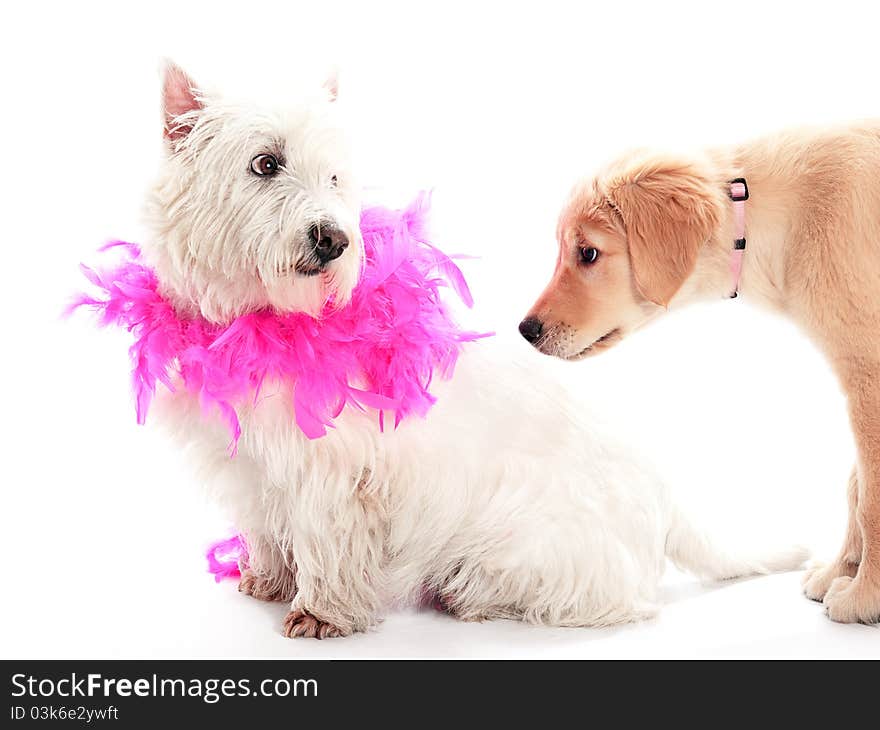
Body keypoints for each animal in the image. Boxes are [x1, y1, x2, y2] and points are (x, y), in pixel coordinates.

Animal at [146, 64, 812, 636]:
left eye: (334, 177)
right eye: (265, 163)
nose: (335, 240)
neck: (269, 319)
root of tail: (666, 495)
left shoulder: (337, 475)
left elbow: (328, 543)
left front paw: (321, 612)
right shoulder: (254, 467)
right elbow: (266, 525)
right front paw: (266, 578)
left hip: (529, 550)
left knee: (606, 600)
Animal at [524, 122, 880, 624]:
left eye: (588, 253)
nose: (525, 330)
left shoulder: (867, 372)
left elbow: (870, 498)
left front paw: (863, 597)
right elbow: (856, 484)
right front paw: (839, 573)